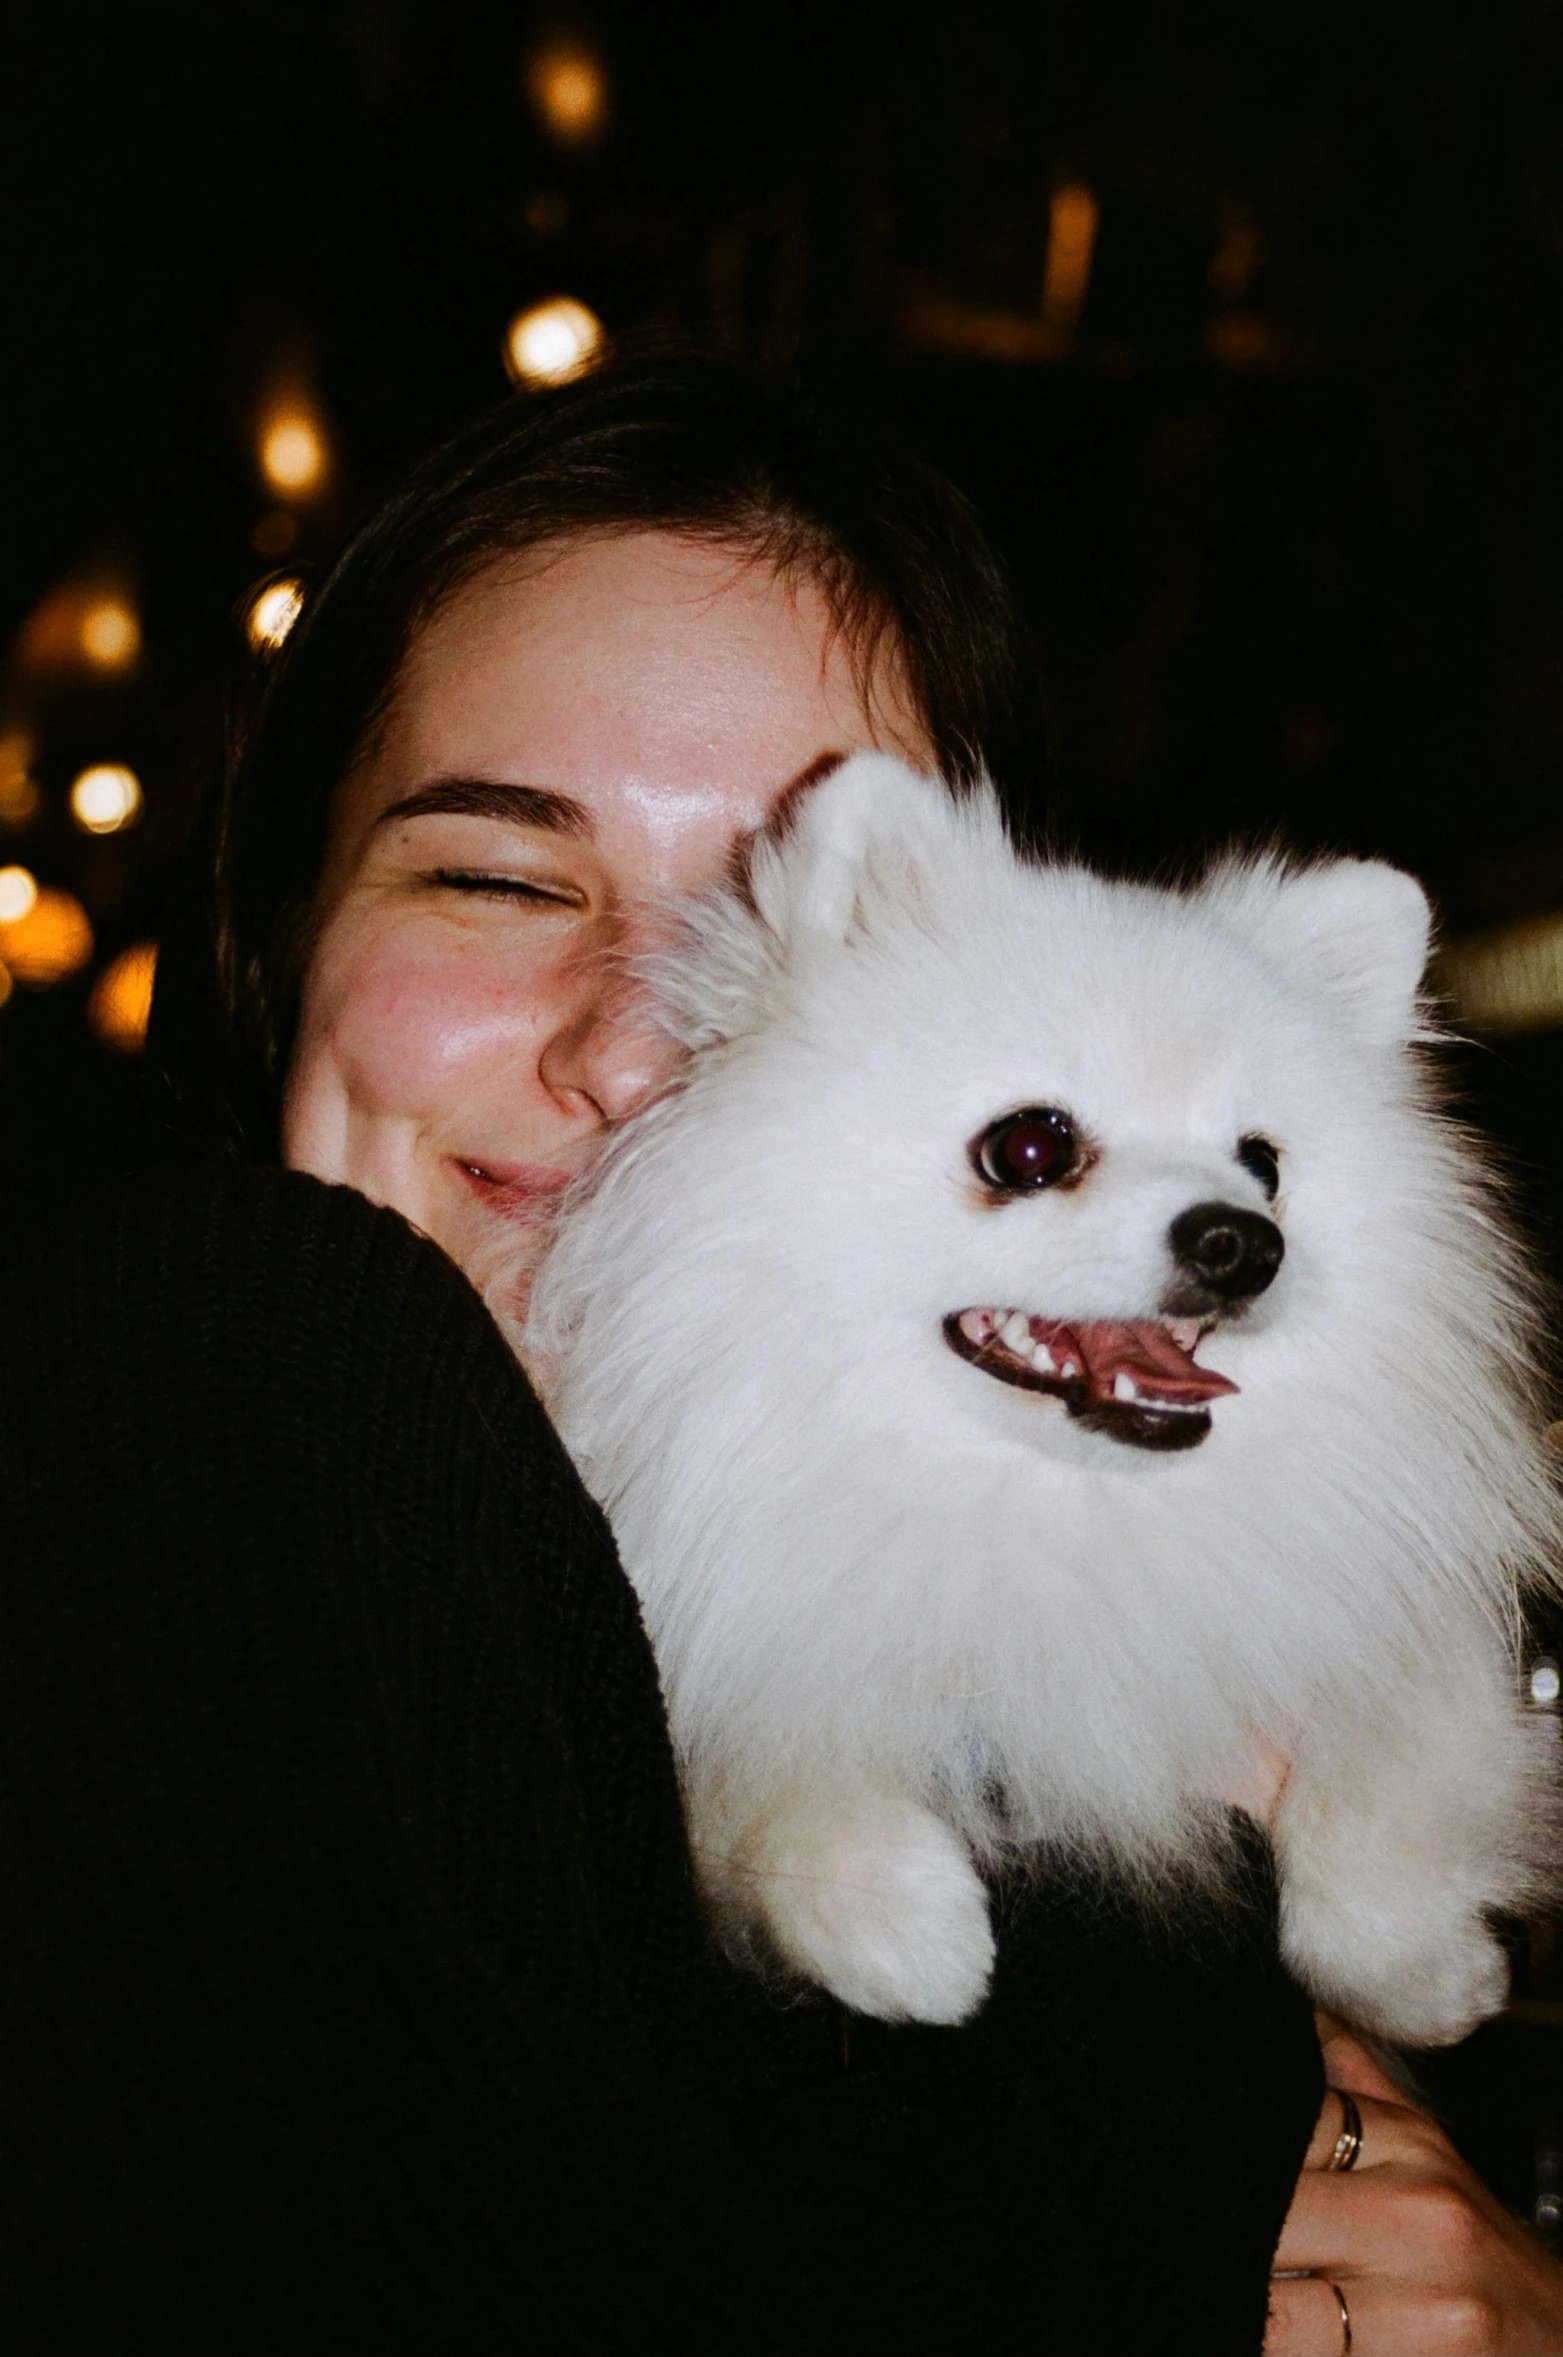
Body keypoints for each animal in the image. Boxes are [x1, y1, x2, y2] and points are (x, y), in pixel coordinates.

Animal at [528, 754, 1563, 2045]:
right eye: (1029, 1149)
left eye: (1264, 1163)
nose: (1243, 1240)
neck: (1048, 1507)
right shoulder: (717, 1643)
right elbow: (762, 1773)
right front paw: (909, 1929)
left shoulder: (1395, 1621)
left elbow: (1386, 1791)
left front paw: (1428, 1976)